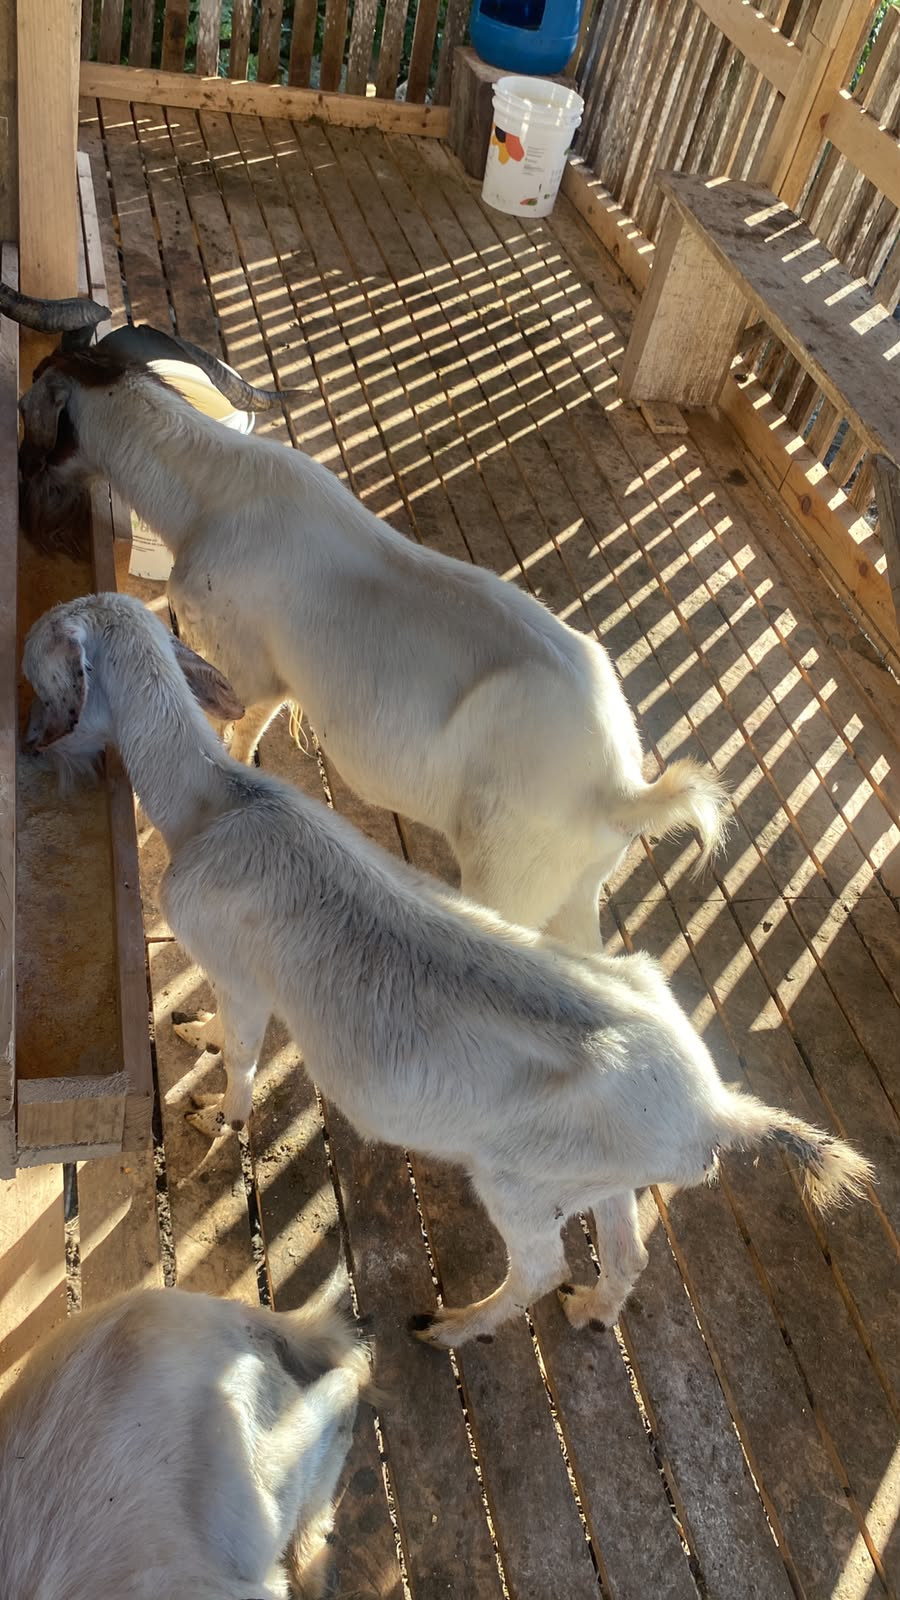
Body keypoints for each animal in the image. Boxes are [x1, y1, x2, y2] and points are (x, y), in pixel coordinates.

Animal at [11, 291, 730, 954]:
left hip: (510, 880)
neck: (215, 492)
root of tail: (621, 788)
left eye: (28, 406)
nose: (26, 486)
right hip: (575, 888)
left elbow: (235, 735)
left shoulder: (251, 668)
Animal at [23, 593, 872, 1348]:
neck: (216, 804)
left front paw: (215, 1115)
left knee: (539, 1266)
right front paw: (193, 1032)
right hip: (600, 1174)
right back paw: (592, 1312)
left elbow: (240, 1055)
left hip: (524, 1183)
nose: (29, 744)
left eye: (40, 664)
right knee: (627, 1248)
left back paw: (451, 1327)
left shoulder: (240, 969)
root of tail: (719, 1112)